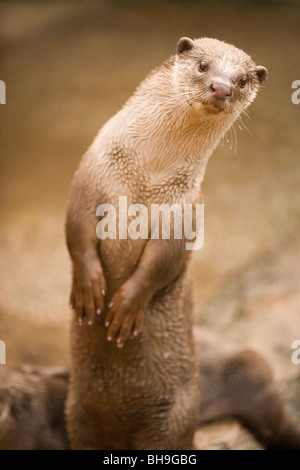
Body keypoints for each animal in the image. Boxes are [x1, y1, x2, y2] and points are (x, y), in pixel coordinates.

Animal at [65, 35, 276, 448]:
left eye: (243, 80)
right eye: (203, 66)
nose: (222, 88)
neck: (145, 176)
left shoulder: (184, 211)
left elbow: (161, 263)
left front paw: (126, 306)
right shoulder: (90, 175)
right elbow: (77, 234)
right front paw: (88, 287)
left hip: (175, 418)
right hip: (75, 414)